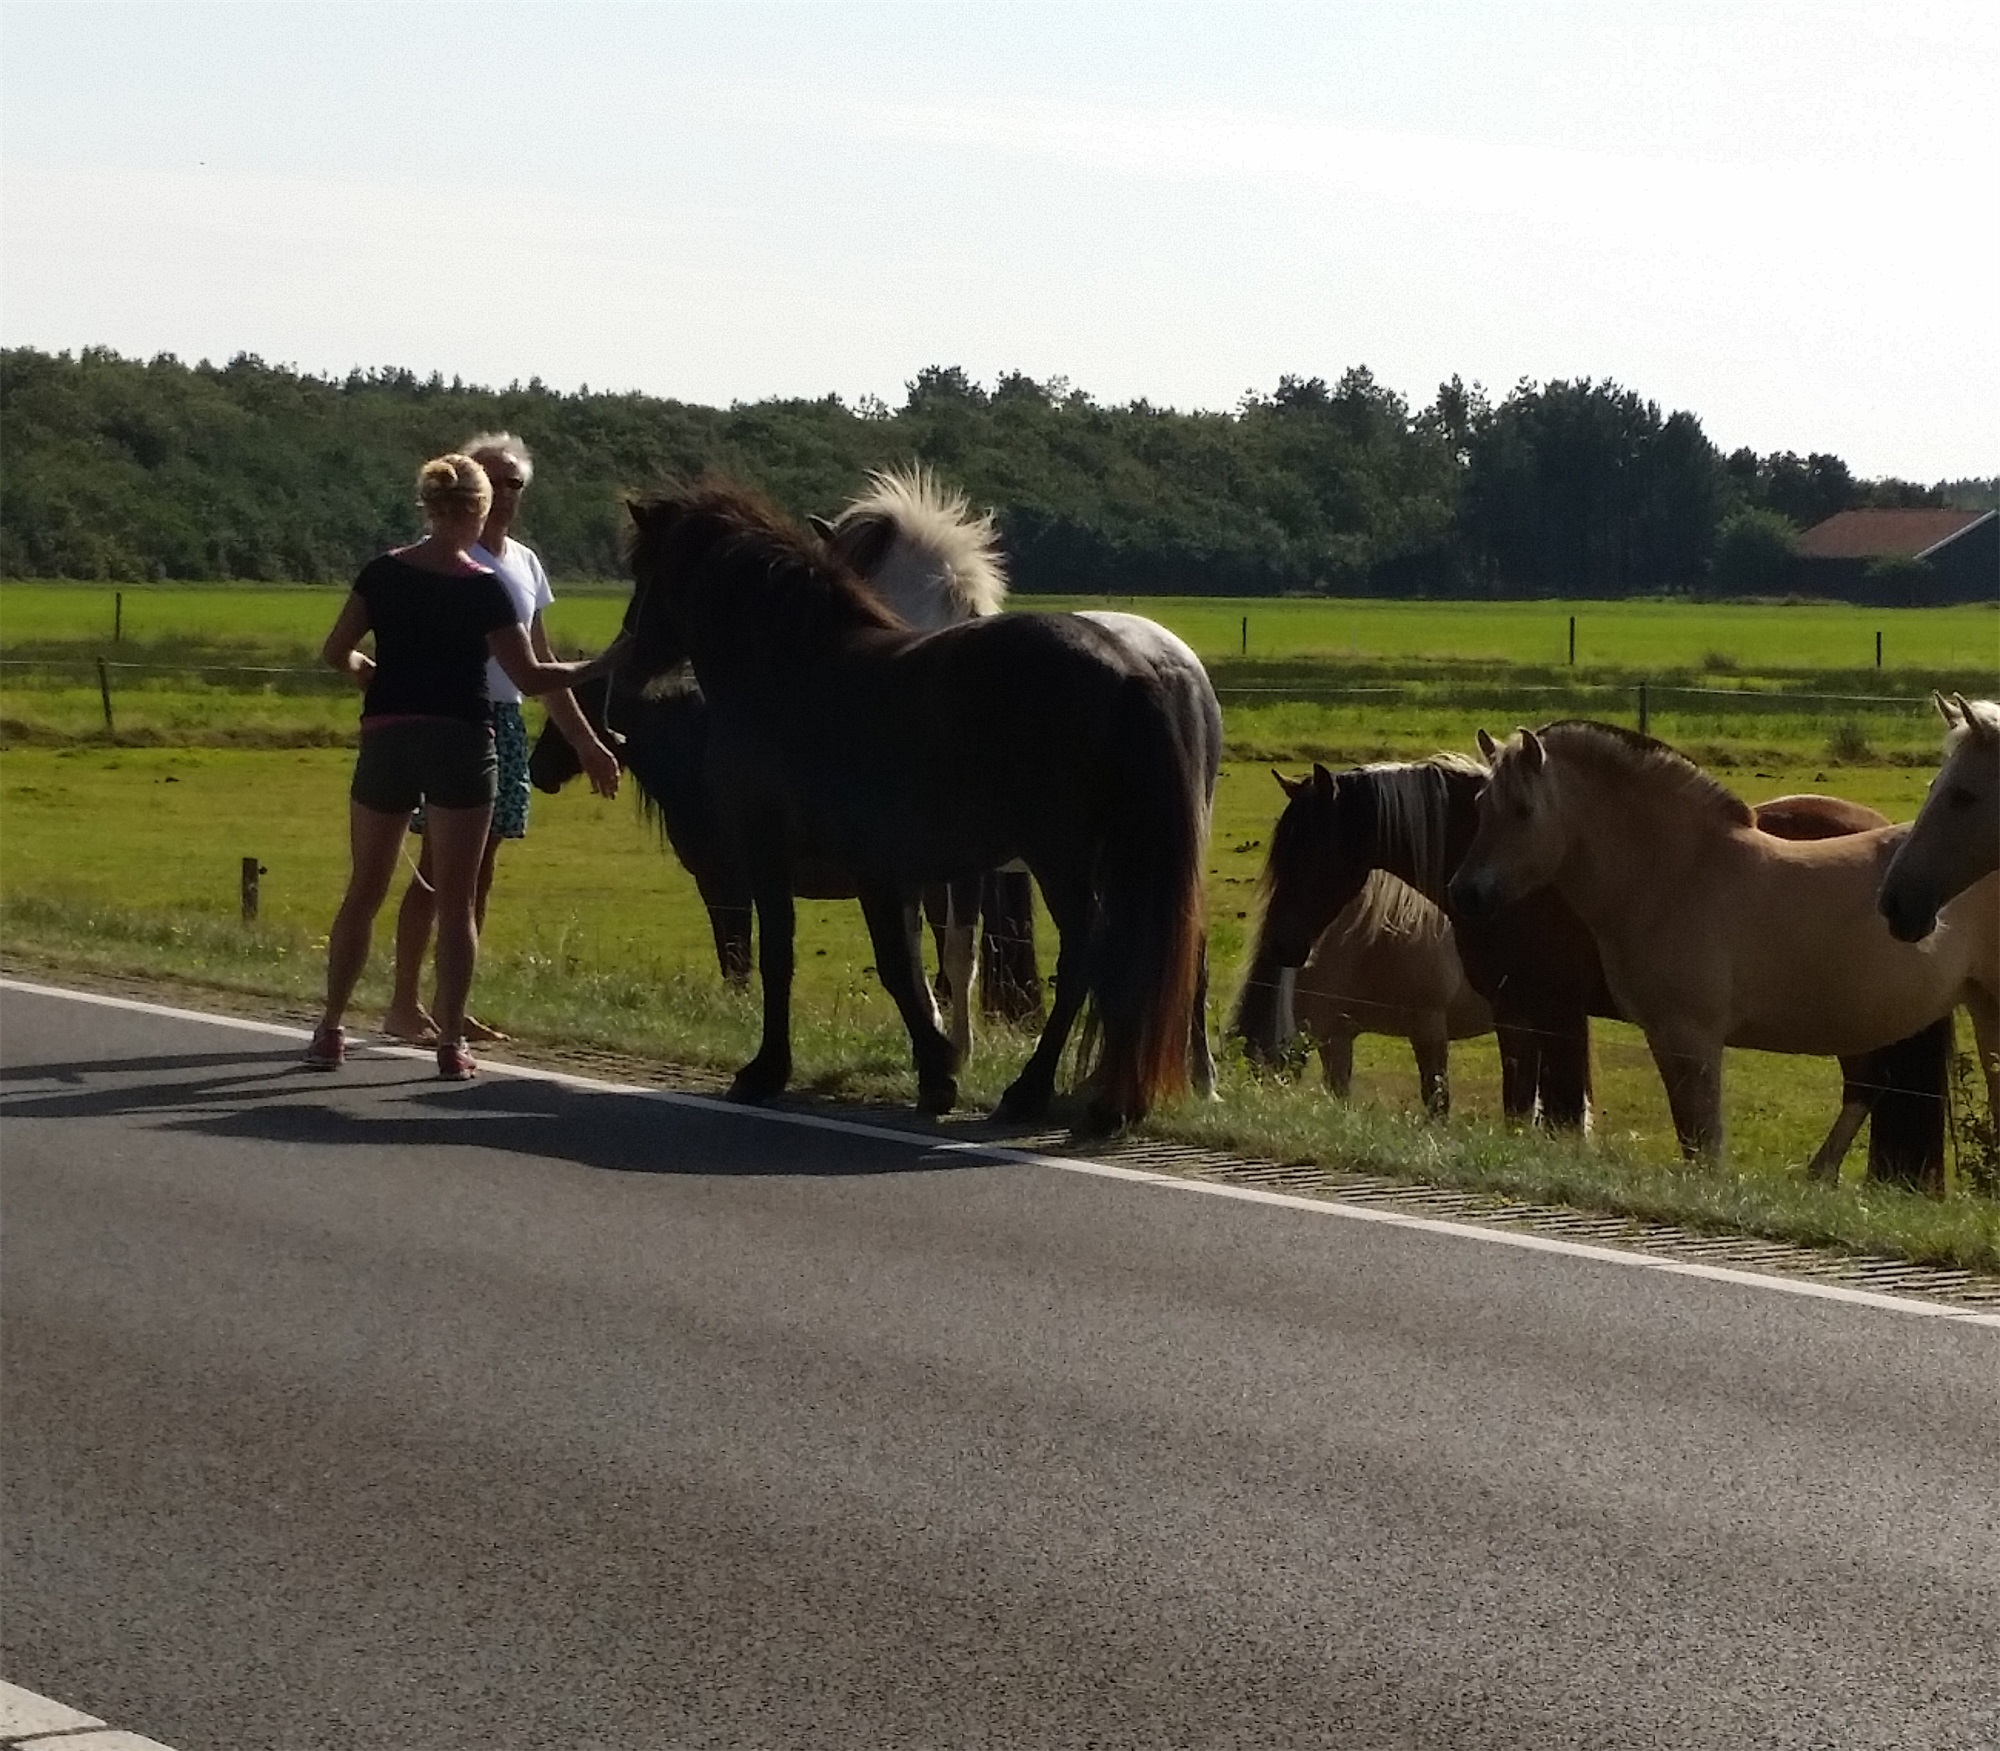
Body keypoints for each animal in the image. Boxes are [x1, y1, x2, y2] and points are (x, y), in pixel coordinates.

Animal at [608, 475, 1208, 1135]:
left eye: (643, 568)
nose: (624, 663)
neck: (794, 670)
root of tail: (1137, 667)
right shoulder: (890, 872)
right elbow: (911, 967)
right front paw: (937, 1067)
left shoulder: (782, 858)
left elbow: (810, 960)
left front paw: (773, 1071)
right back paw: (1110, 1100)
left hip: (1065, 856)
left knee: (1089, 955)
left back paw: (1033, 1092)